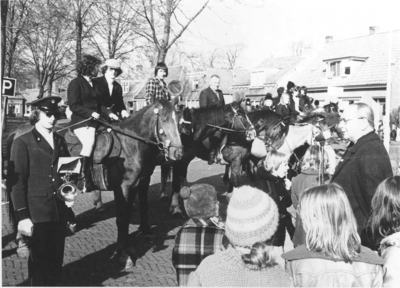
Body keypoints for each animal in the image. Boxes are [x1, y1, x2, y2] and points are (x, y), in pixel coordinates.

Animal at [5, 99, 184, 268]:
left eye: (179, 120)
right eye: (165, 120)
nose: (178, 152)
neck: (130, 144)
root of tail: (17, 130)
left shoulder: (139, 183)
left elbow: (139, 209)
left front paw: (140, 237)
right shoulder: (123, 188)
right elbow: (122, 219)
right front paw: (123, 254)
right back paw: (22, 243)